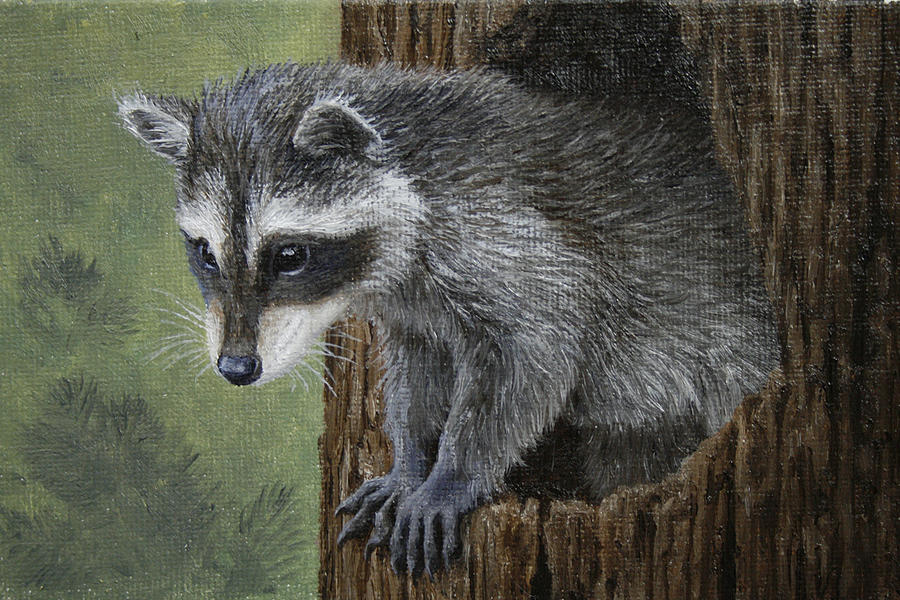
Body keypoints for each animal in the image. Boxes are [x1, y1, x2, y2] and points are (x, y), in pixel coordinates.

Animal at [118, 62, 779, 577]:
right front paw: (411, 460)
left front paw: (451, 476)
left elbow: (540, 343)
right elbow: (419, 371)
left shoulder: (502, 232)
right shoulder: (415, 309)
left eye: (289, 255)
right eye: (205, 253)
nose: (236, 366)